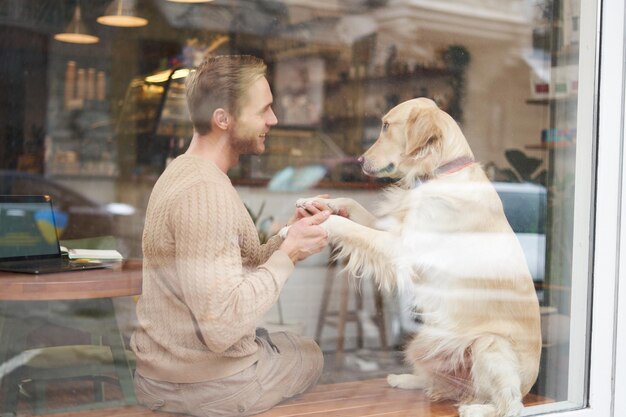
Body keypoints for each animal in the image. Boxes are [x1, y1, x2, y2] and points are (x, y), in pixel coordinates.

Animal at [290, 98, 540, 416]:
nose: (358, 160)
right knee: (443, 384)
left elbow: (345, 226)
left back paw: (475, 408)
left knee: (510, 405)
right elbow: (350, 203)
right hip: (424, 343)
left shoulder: (399, 248)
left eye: (386, 126)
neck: (437, 174)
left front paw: (301, 227)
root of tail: (530, 385)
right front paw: (315, 202)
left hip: (489, 344)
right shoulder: (391, 231)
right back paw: (406, 379)